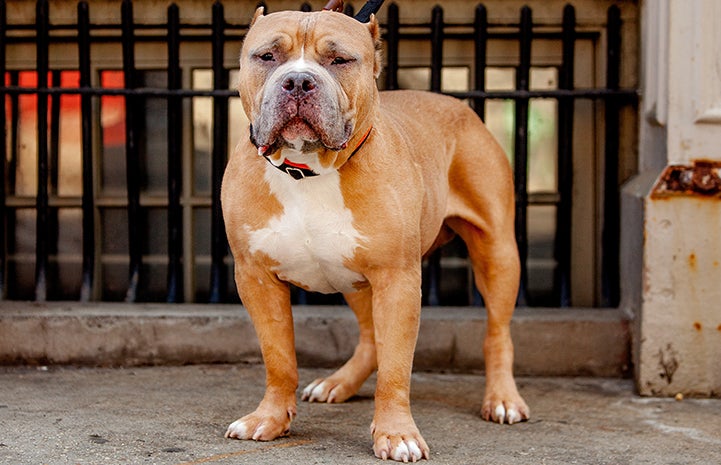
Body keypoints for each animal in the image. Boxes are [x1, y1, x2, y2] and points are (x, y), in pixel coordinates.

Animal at [221, 7, 528, 460]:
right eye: (267, 56)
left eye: (340, 60)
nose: (298, 81)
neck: (308, 170)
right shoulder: (255, 277)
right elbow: (279, 358)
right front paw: (270, 418)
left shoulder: (397, 280)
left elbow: (396, 369)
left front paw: (397, 433)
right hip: (351, 274)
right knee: (369, 337)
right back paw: (339, 383)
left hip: (497, 253)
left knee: (498, 333)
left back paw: (503, 398)